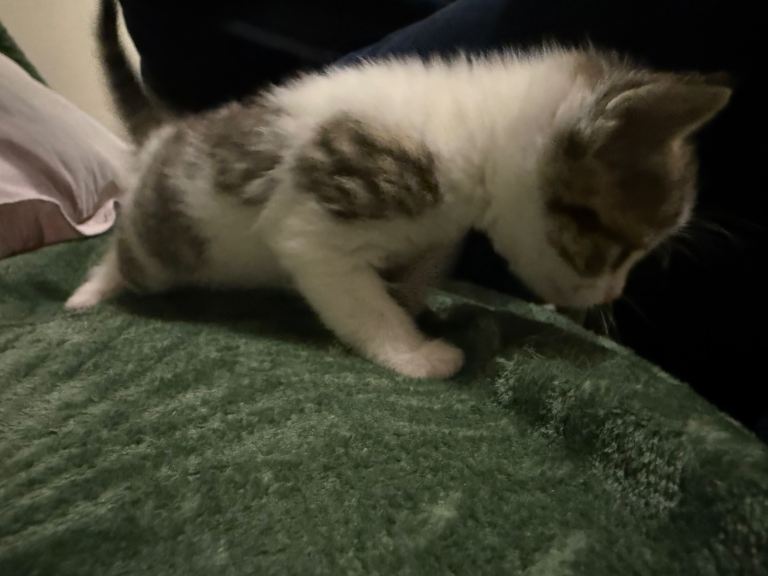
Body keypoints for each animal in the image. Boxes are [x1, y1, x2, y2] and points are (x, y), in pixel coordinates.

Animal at [67, 0, 730, 379]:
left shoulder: (439, 231)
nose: (612, 294)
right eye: (619, 249)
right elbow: (363, 307)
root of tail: (168, 131)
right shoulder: (313, 230)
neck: (471, 135)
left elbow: (425, 265)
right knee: (126, 250)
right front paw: (414, 352)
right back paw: (92, 289)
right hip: (164, 245)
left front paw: (413, 301)